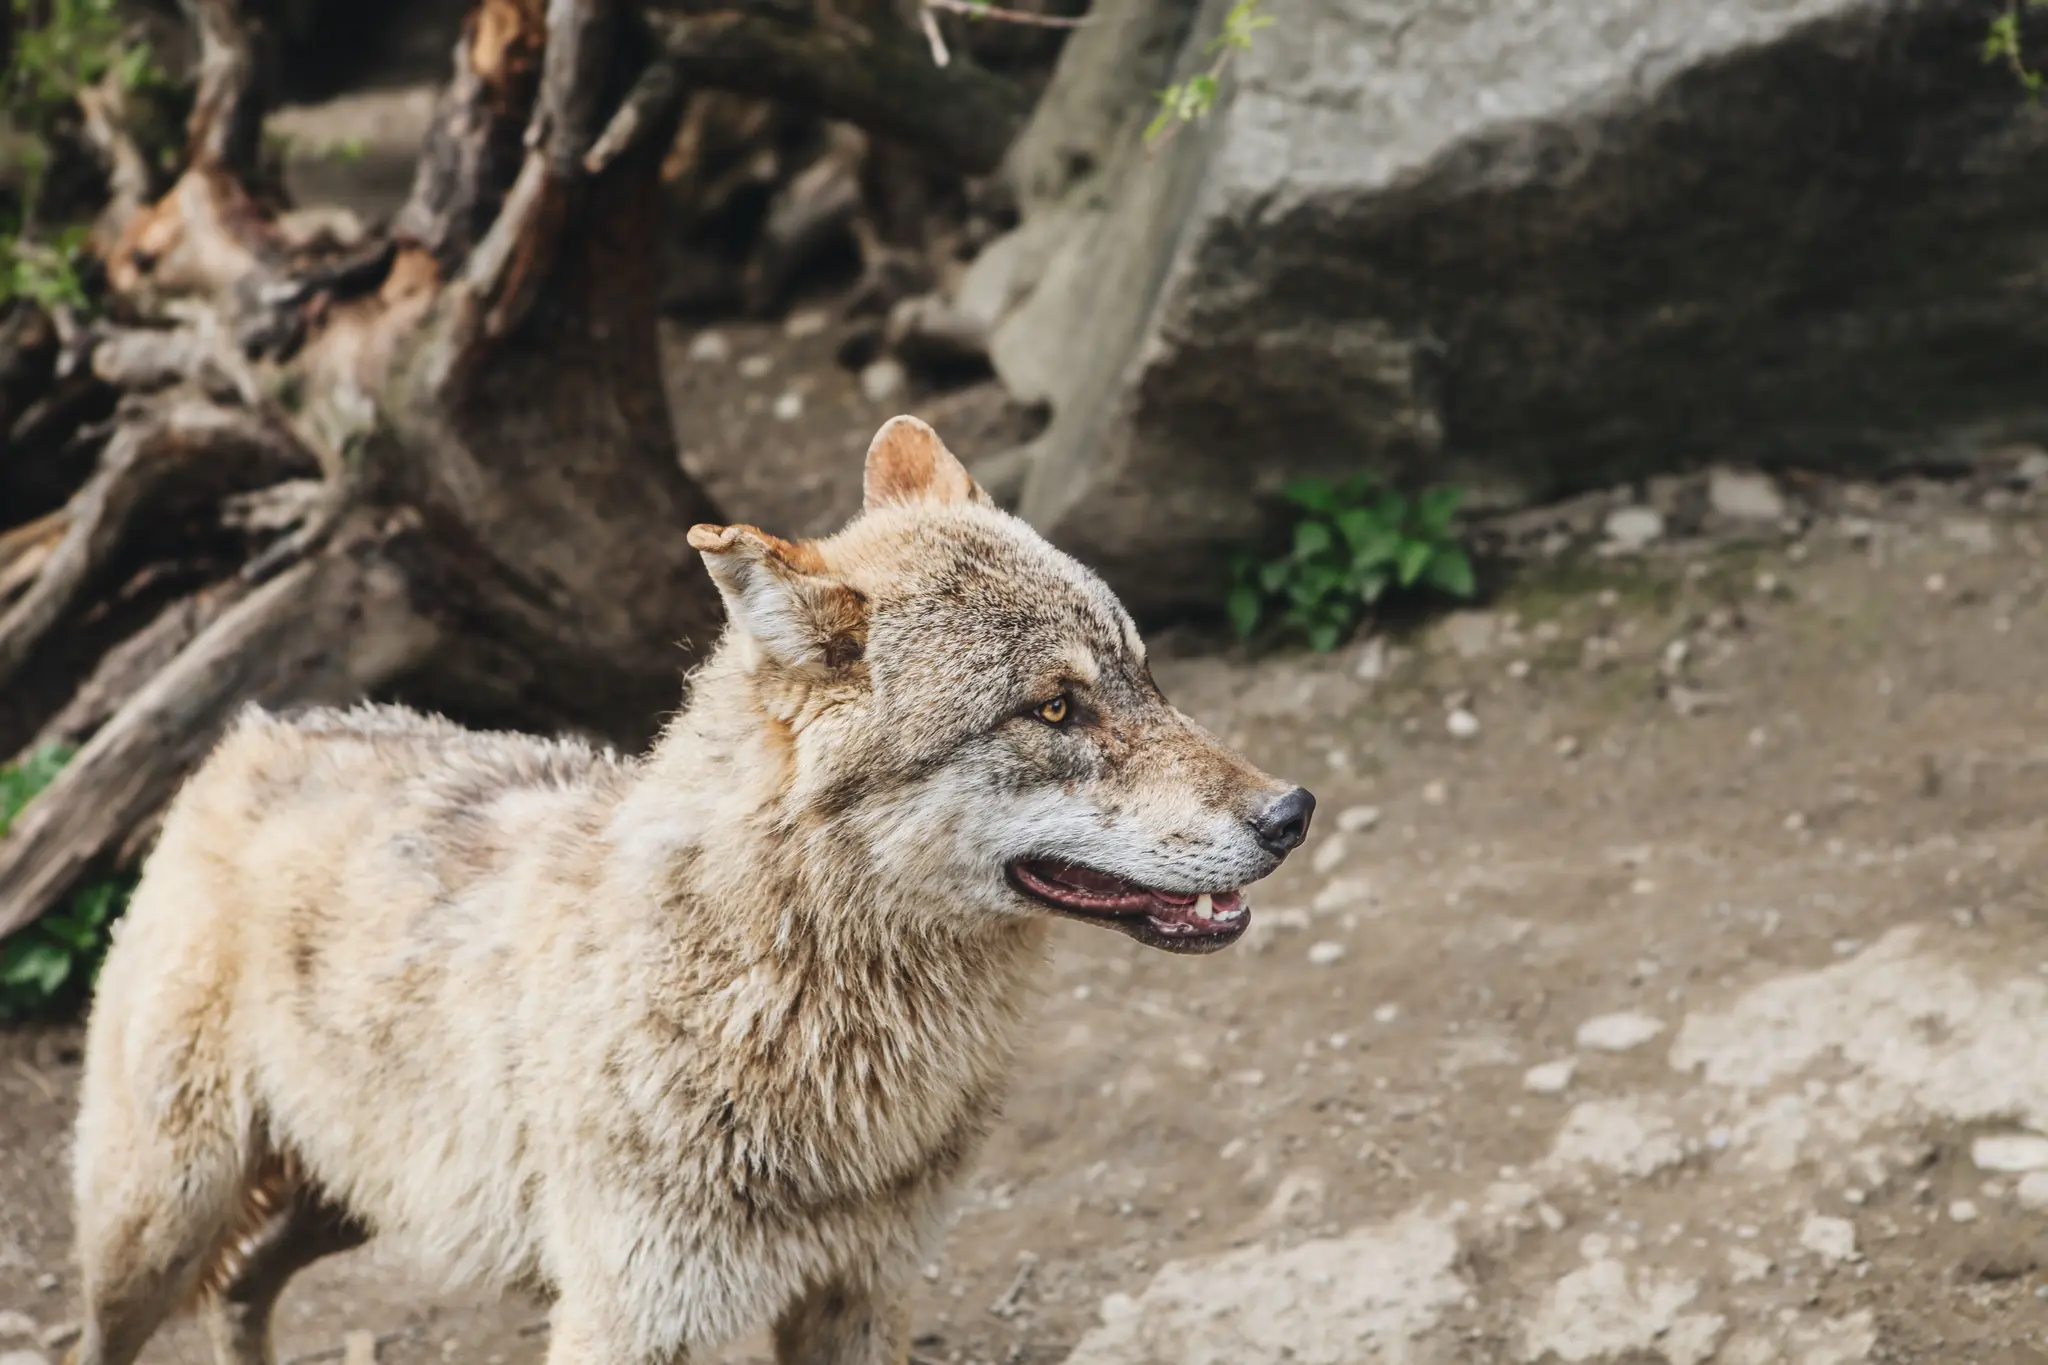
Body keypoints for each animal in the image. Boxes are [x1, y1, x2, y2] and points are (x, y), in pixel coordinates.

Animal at [64, 416, 1314, 1365]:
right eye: (1052, 709)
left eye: (1141, 674)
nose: (1290, 813)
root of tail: (253, 731)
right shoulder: (633, 1323)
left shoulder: (859, 1294)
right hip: (159, 1222)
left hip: (362, 1198)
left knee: (242, 1290)